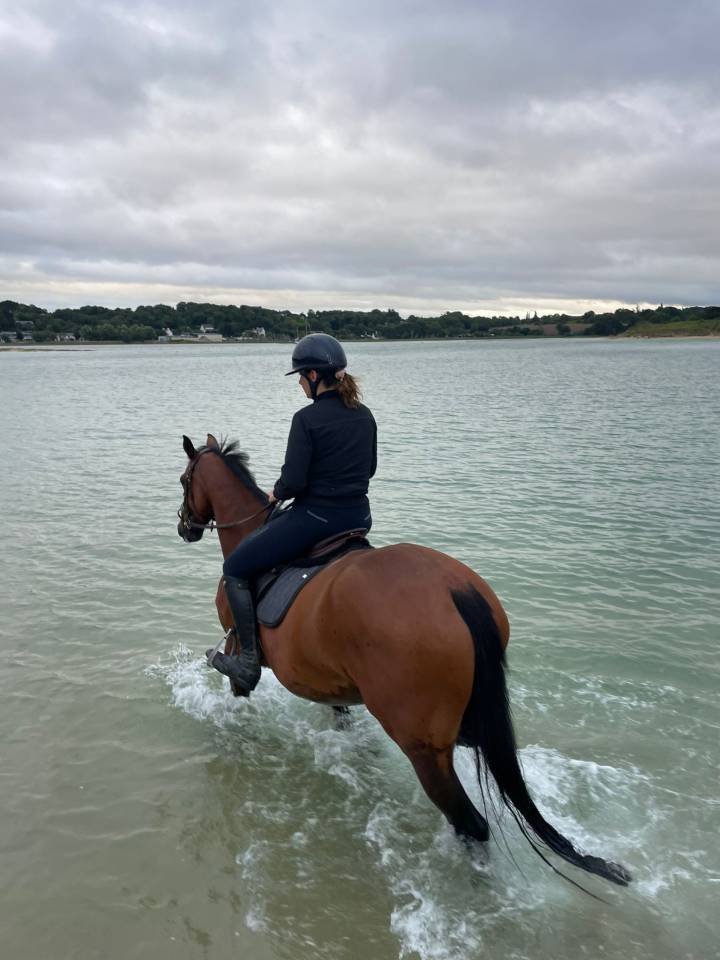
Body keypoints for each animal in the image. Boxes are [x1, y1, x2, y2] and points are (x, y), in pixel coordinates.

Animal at [177, 433, 632, 891]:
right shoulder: (327, 677)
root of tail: (456, 591)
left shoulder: (239, 647)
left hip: (422, 747)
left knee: (471, 823)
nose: (184, 526)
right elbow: (339, 715)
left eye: (184, 480)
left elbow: (239, 690)